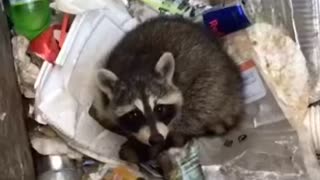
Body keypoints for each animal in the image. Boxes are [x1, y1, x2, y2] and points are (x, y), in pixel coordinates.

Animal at [89, 16, 244, 163]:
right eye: (134, 114)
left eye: (160, 108)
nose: (156, 139)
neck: (136, 69)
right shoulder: (103, 102)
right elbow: (100, 114)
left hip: (214, 86)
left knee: (196, 109)